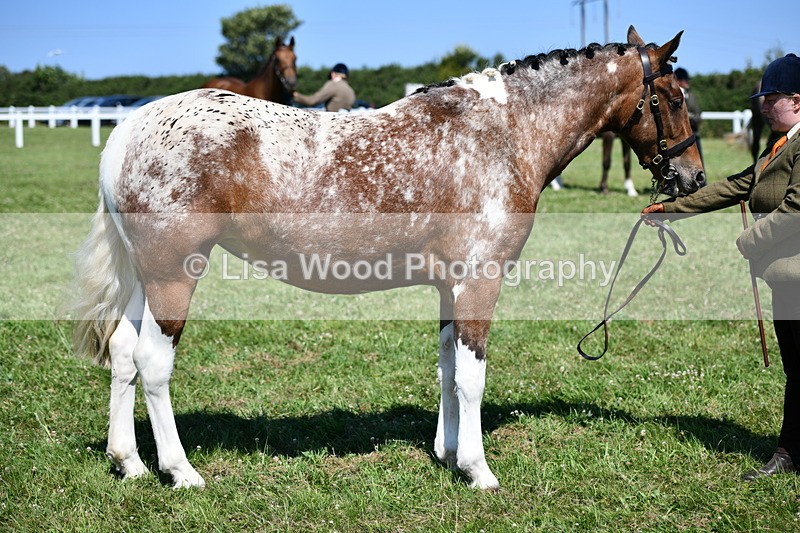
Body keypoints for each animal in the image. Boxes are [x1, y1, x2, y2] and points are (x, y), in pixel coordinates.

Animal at [70, 26, 704, 490]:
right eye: (673, 98)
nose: (693, 177)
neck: (501, 133)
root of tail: (129, 128)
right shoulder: (479, 282)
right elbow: (472, 376)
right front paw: (479, 470)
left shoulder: (450, 286)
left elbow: (447, 367)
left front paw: (448, 453)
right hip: (175, 275)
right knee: (153, 362)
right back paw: (181, 472)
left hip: (145, 278)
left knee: (123, 353)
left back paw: (129, 463)